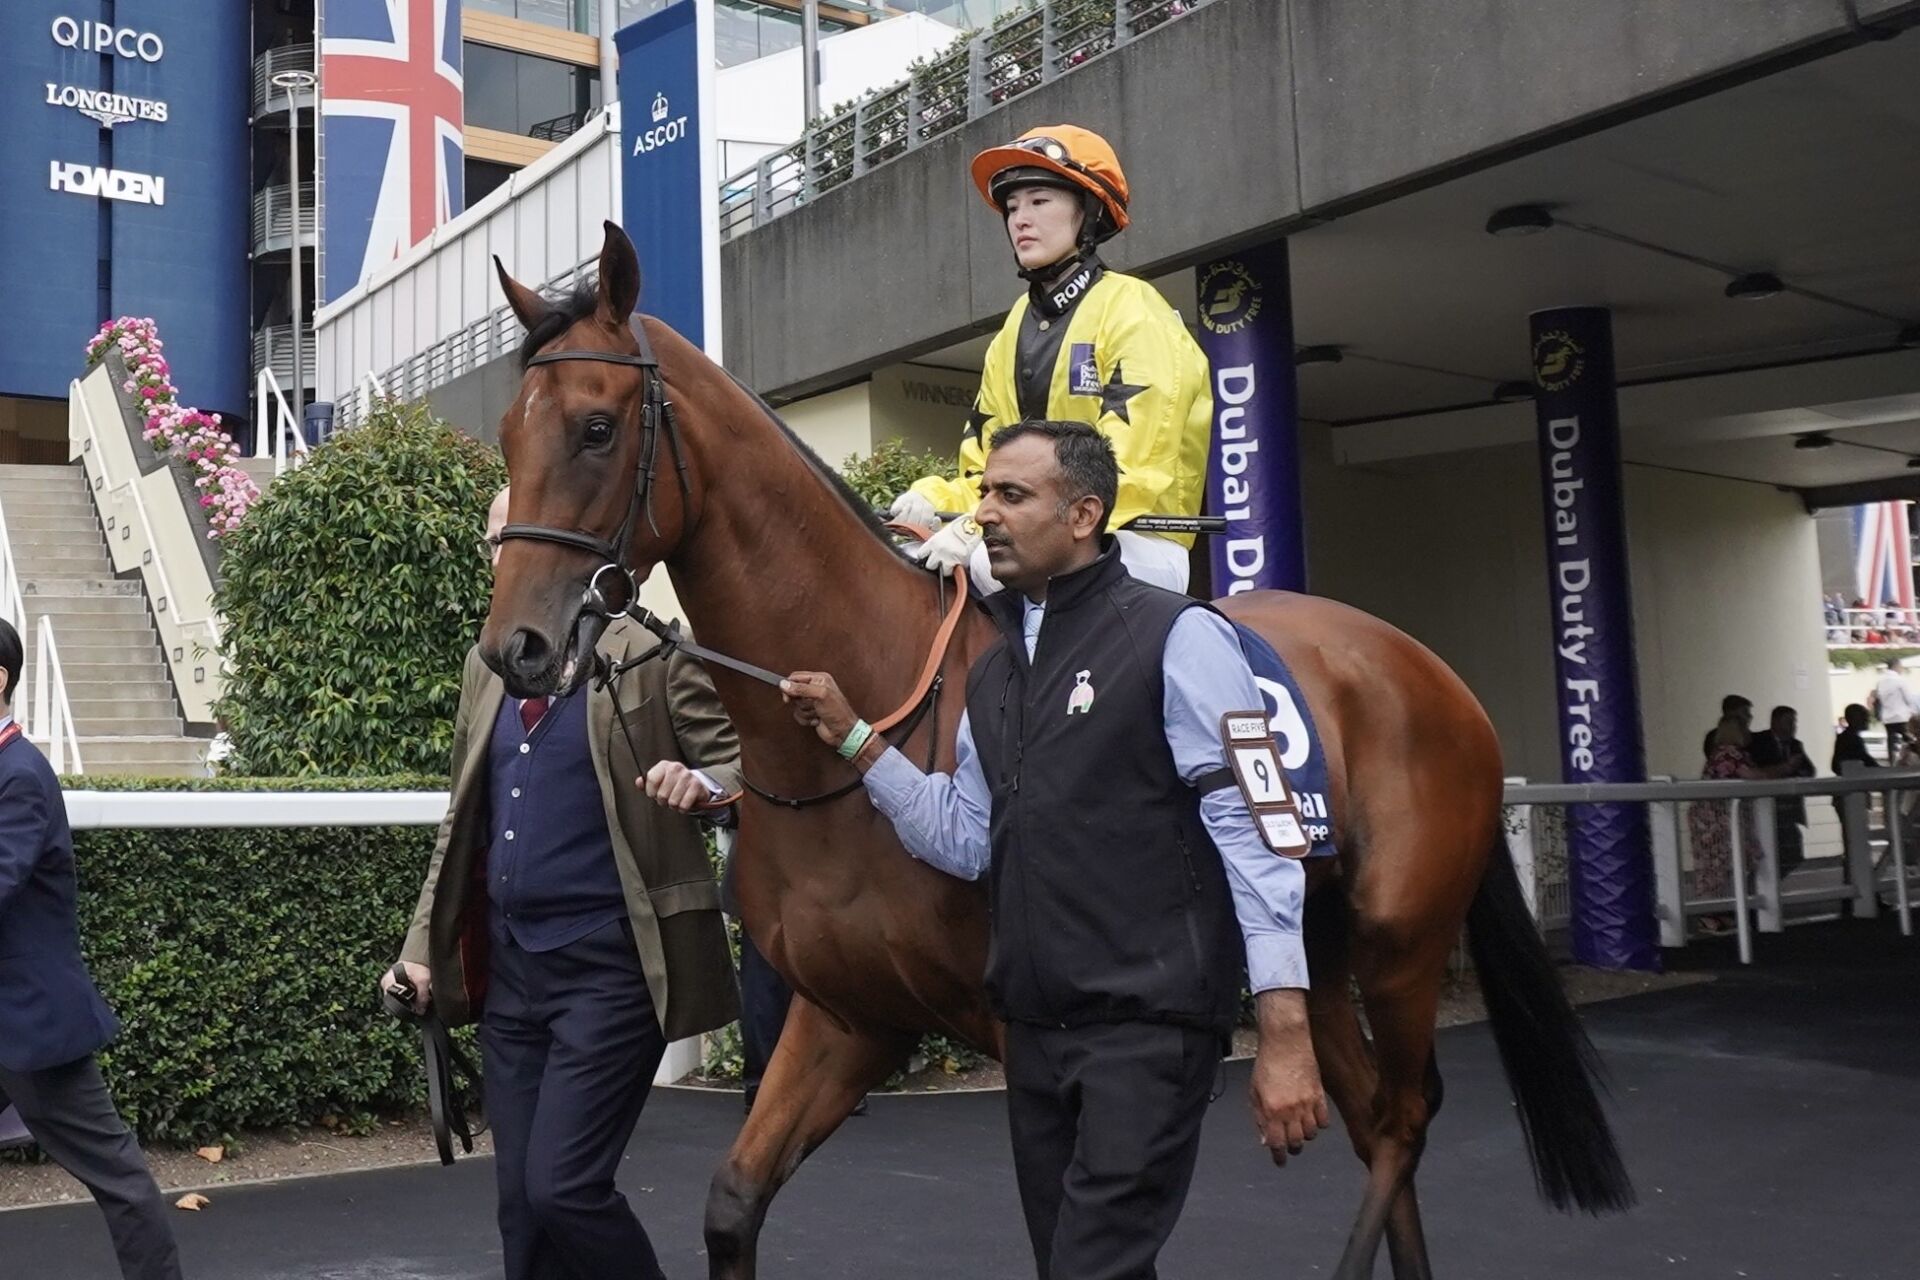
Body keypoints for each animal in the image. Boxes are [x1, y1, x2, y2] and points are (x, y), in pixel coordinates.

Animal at [472, 227, 1628, 1280]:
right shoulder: (847, 1013)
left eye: (595, 427)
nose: (514, 647)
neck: (861, 727)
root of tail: (1433, 673)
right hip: (1312, 944)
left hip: (1401, 935)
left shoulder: (1023, 1031)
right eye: (508, 436)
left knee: (1404, 1114)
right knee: (1371, 1109)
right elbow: (731, 1203)